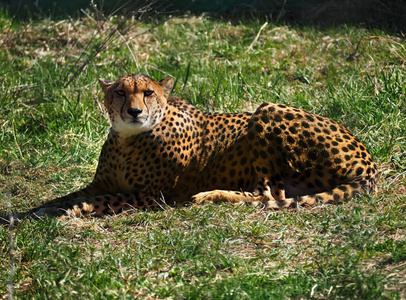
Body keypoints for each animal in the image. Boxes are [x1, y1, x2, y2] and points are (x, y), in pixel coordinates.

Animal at [4, 72, 378, 220]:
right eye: (120, 93)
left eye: (148, 93)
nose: (134, 111)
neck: (127, 139)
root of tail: (367, 156)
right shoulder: (100, 183)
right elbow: (59, 198)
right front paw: (29, 214)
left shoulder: (152, 195)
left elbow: (105, 200)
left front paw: (77, 211)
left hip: (267, 110)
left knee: (269, 195)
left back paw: (209, 195)